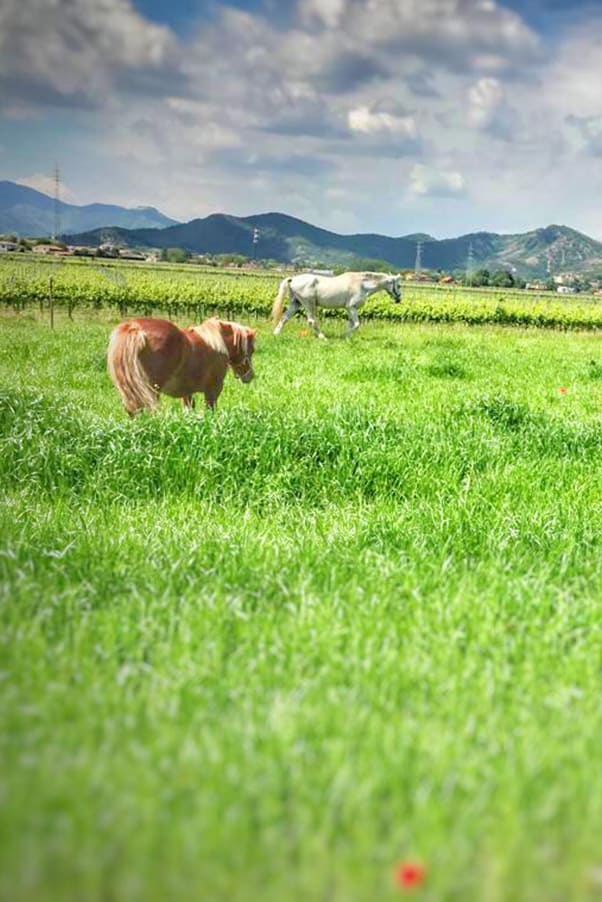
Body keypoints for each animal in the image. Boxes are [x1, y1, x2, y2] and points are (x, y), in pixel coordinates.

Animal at [106, 318, 254, 416]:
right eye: (252, 350)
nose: (250, 376)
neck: (216, 343)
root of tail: (134, 328)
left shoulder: (187, 392)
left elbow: (189, 408)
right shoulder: (213, 389)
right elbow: (210, 410)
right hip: (151, 390)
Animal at [270, 270, 400, 340]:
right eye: (398, 285)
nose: (399, 299)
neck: (362, 285)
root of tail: (293, 279)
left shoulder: (350, 309)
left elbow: (351, 324)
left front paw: (346, 338)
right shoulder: (351, 308)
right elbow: (356, 324)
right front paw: (343, 336)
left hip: (296, 303)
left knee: (285, 317)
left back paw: (276, 334)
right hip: (308, 304)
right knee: (312, 321)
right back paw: (323, 337)